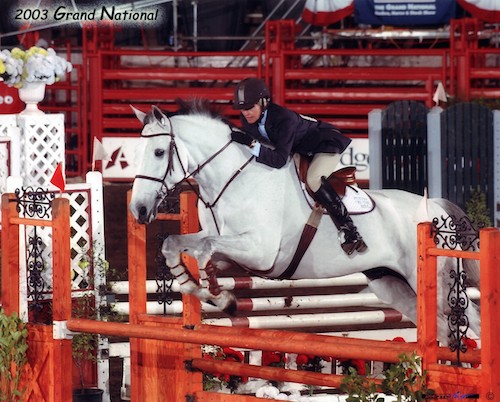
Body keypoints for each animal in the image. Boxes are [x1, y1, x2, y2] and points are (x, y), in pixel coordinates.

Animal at [130, 102, 480, 344]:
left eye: (159, 152)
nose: (139, 209)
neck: (233, 178)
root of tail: (435, 207)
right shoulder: (231, 249)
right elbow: (176, 243)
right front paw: (199, 287)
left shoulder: (260, 253)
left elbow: (206, 247)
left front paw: (215, 289)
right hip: (392, 284)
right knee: (441, 326)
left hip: (436, 283)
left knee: (467, 319)